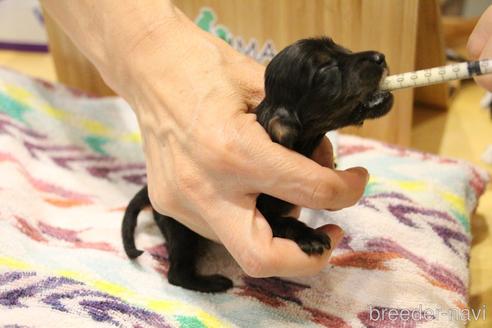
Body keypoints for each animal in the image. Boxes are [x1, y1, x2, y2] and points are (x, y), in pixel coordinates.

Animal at [121, 37, 394, 292]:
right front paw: (310, 236)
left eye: (342, 48)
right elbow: (283, 222)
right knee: (177, 273)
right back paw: (214, 283)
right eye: (327, 69)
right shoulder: (261, 208)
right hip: (181, 227)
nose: (380, 57)